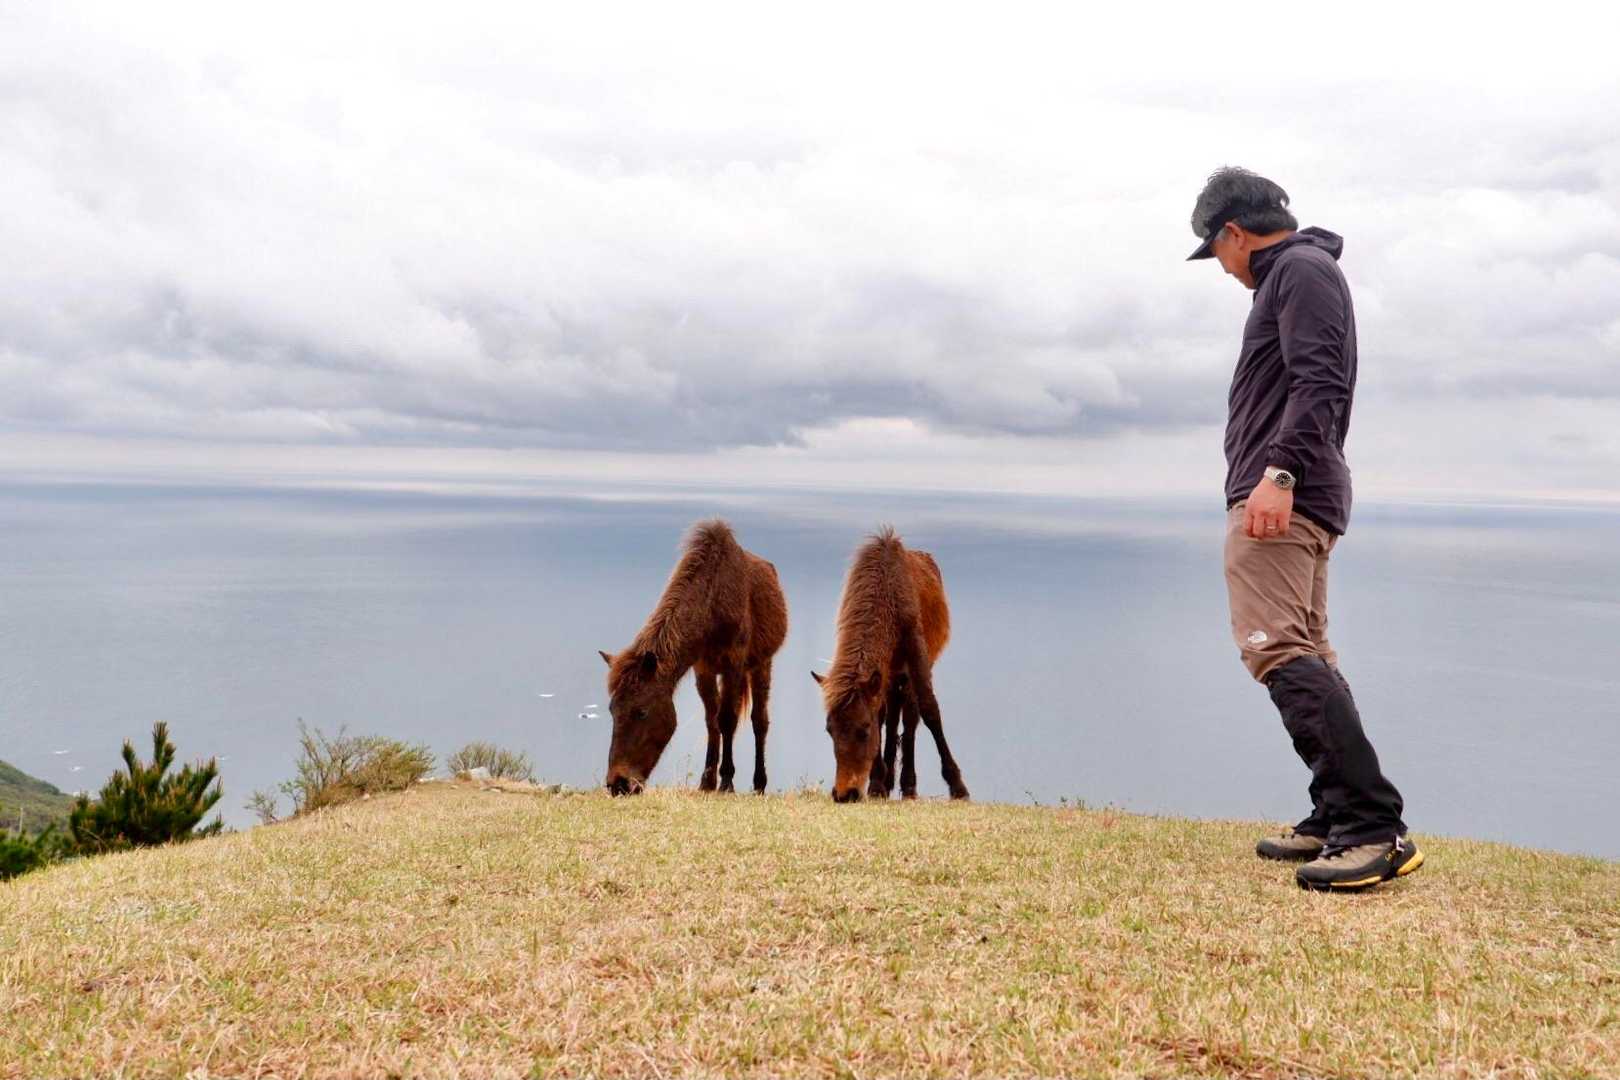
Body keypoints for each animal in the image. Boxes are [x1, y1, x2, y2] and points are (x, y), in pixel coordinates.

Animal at [598, 519, 787, 795]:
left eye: (642, 712)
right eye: (612, 710)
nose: (618, 784)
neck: (712, 603)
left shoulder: (733, 664)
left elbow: (727, 719)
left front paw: (726, 782)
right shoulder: (703, 668)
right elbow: (712, 722)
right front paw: (707, 782)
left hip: (761, 664)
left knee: (759, 721)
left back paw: (759, 783)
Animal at [812, 527, 968, 803]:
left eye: (863, 730)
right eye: (829, 730)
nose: (844, 793)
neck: (888, 593)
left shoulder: (917, 656)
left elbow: (929, 711)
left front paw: (957, 785)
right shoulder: (881, 675)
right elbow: (882, 717)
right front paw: (877, 784)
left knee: (910, 718)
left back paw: (908, 785)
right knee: (893, 715)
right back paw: (889, 780)